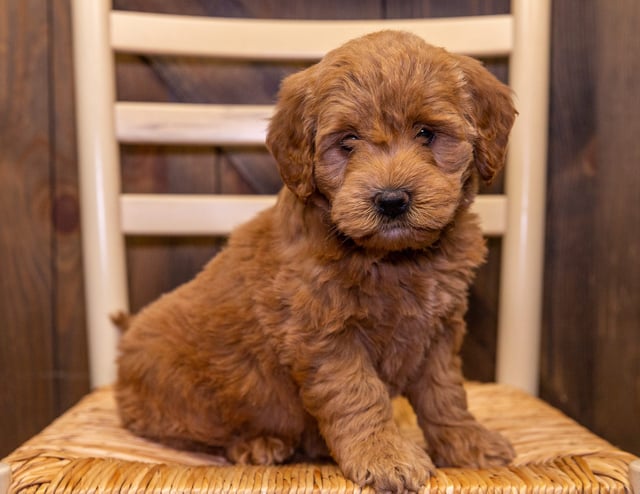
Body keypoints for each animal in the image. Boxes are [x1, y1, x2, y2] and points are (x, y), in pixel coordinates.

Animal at [116, 31, 516, 494]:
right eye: (348, 141)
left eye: (426, 133)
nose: (391, 200)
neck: (393, 258)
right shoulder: (324, 334)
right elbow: (359, 396)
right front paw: (385, 456)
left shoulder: (438, 329)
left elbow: (445, 392)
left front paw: (466, 441)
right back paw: (256, 443)